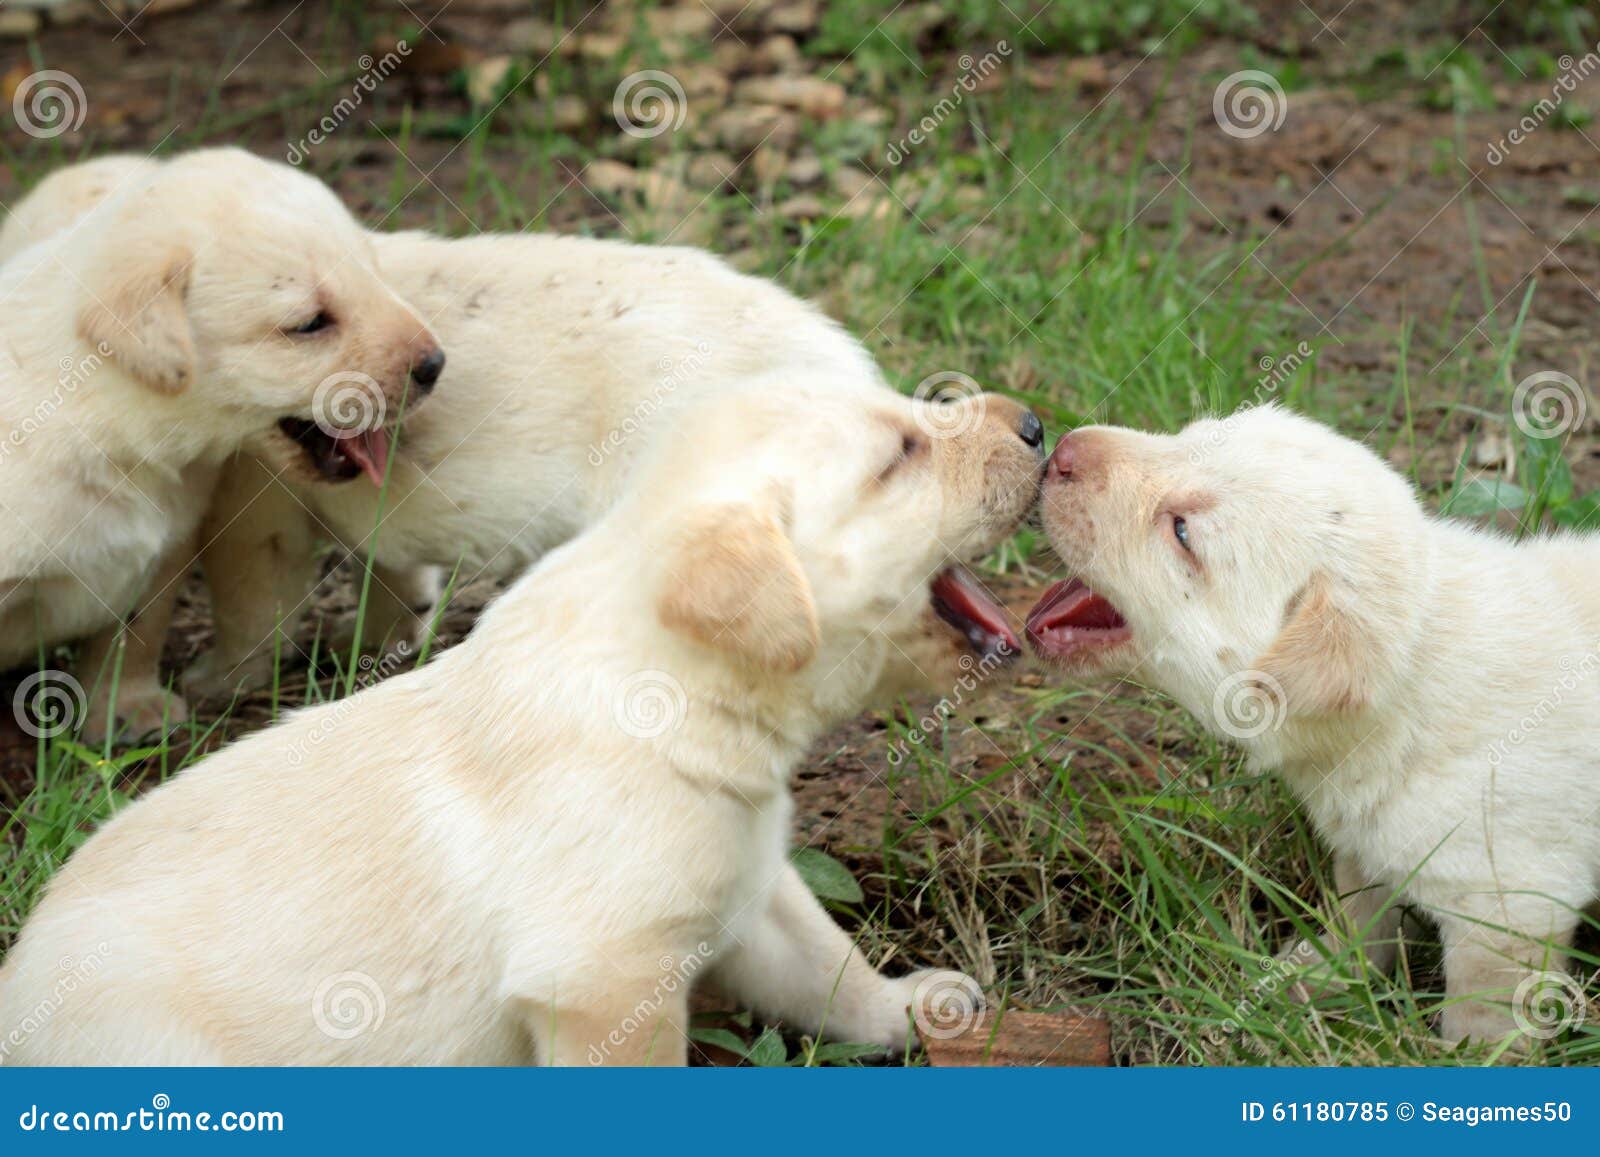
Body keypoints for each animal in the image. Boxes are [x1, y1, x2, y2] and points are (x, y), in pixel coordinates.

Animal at [0, 149, 441, 736]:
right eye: (309, 324)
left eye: (373, 274)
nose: (436, 364)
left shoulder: (167, 546)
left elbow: (134, 632)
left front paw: (127, 711)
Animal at [0, 376, 1049, 1062]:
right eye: (900, 456)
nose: (1038, 421)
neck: (679, 686)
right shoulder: (604, 981)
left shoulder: (749, 884)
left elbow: (827, 966)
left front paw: (912, 1007)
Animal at [1024, 403, 1600, 1043]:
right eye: (1187, 436)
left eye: (1182, 532)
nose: (1063, 447)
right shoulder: (1364, 847)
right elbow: (1358, 915)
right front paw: (1315, 975)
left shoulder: (1512, 903)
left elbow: (1485, 1010)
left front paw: (1458, 1054)